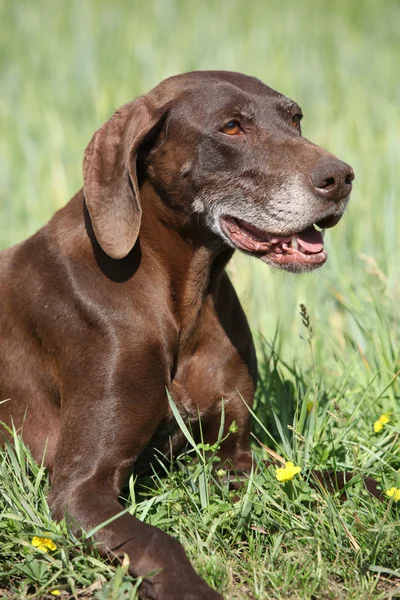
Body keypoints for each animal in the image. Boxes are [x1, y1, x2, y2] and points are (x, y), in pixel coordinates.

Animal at [0, 72, 356, 596]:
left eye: (296, 119)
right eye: (231, 128)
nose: (341, 177)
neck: (184, 298)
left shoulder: (233, 455)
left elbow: (333, 477)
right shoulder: (79, 488)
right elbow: (159, 541)